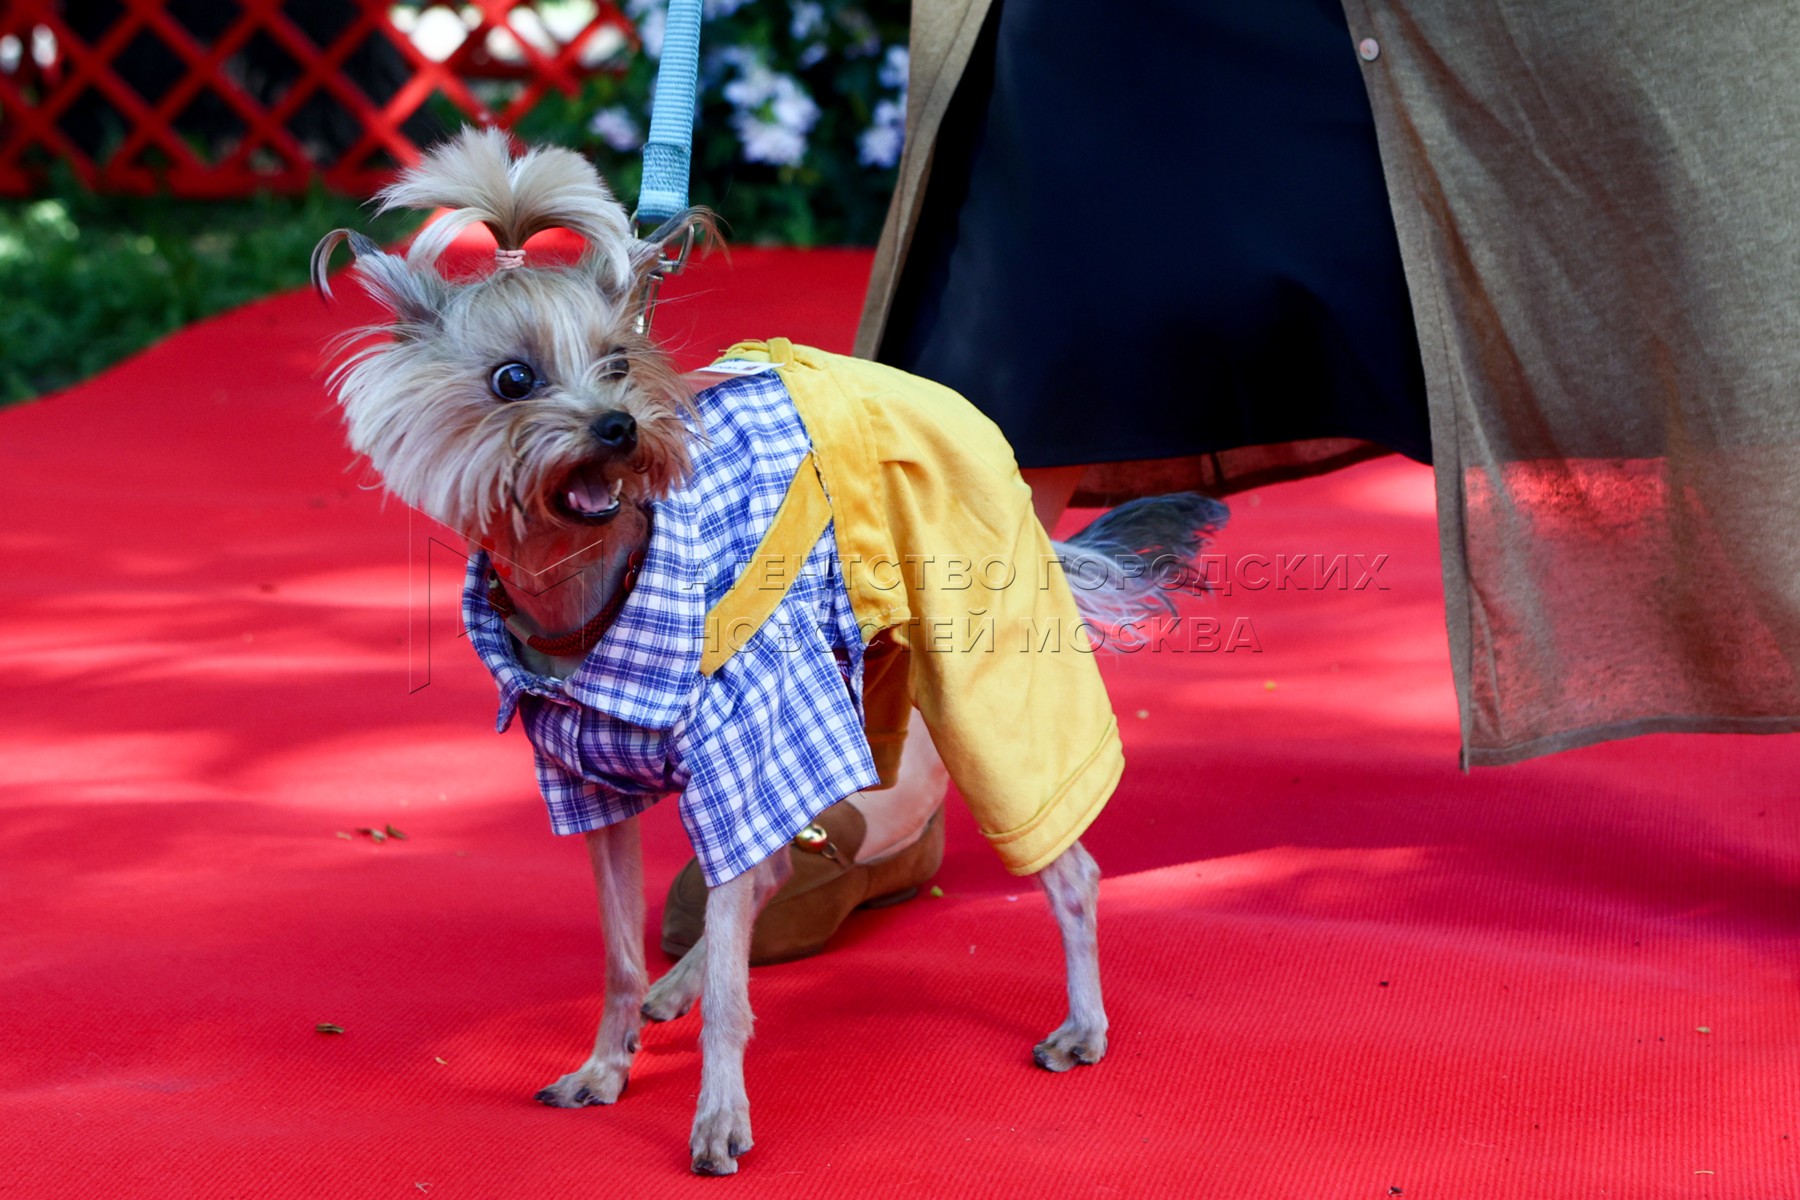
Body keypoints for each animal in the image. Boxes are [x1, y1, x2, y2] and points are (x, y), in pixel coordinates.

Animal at [316, 129, 1231, 1173]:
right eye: (514, 380)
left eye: (620, 362)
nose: (619, 426)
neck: (593, 586)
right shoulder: (591, 787)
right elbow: (622, 954)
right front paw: (607, 1064)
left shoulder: (737, 759)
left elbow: (732, 982)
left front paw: (717, 1113)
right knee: (771, 871)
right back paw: (682, 982)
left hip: (974, 680)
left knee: (1063, 868)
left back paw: (1080, 1024)